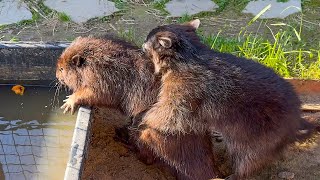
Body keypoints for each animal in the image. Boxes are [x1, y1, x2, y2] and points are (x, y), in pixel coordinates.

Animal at [139, 23, 304, 180]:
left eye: (147, 42)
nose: (141, 46)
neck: (190, 53)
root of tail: (295, 118)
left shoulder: (187, 85)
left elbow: (172, 111)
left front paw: (148, 118)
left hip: (263, 134)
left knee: (250, 157)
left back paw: (239, 174)